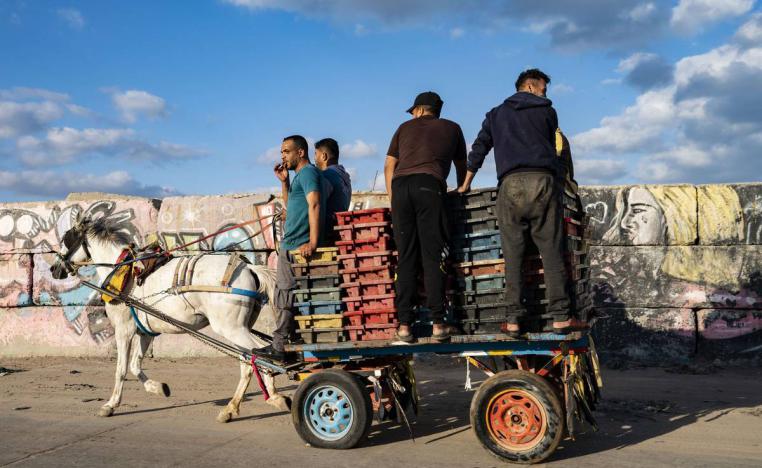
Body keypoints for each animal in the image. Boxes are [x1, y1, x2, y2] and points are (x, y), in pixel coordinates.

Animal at [49, 216, 290, 420]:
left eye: (66, 239)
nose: (53, 268)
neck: (122, 269)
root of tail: (248, 266)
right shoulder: (146, 332)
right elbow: (135, 366)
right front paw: (158, 388)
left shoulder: (124, 330)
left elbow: (121, 369)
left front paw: (111, 404)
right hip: (238, 328)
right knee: (248, 360)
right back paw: (236, 407)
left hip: (231, 328)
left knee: (259, 355)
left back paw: (269, 397)